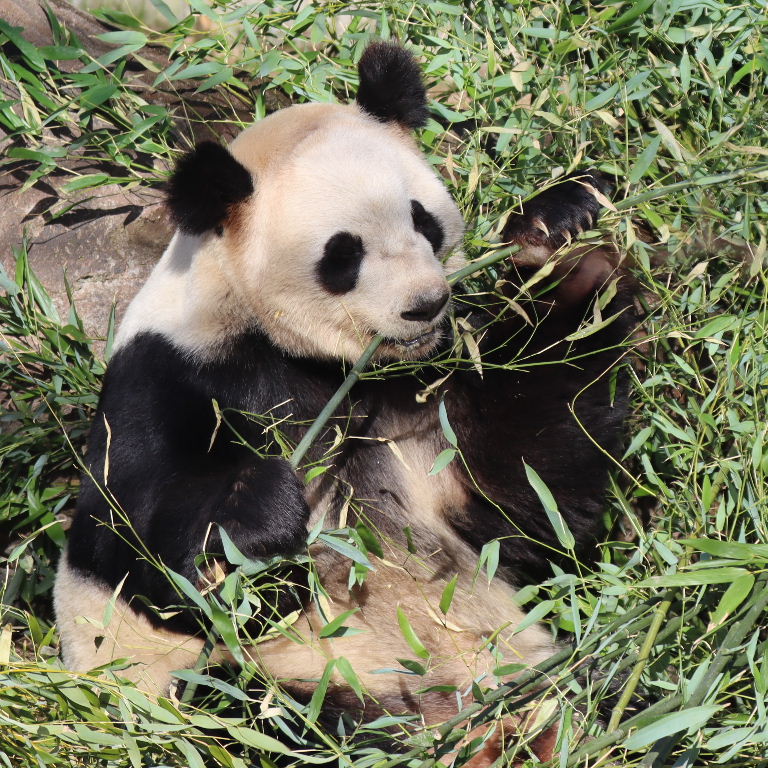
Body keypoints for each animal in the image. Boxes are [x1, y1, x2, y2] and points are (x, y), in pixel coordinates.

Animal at [54, 41, 636, 759]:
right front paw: (258, 510)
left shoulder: (411, 414)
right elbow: (136, 549)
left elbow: (528, 483)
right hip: (251, 695)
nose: (425, 305)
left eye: (423, 220)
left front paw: (563, 240)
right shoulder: (169, 376)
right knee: (246, 712)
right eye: (342, 254)